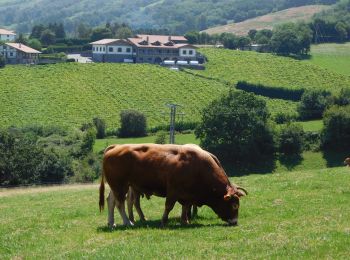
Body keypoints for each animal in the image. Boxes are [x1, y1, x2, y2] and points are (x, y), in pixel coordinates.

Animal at [98, 143, 246, 226]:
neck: (197, 167)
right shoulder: (173, 191)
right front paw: (164, 221)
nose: (235, 222)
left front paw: (185, 221)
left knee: (111, 201)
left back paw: (112, 222)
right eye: (234, 205)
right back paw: (128, 222)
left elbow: (185, 207)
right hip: (120, 186)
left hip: (118, 187)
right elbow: (169, 206)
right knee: (120, 204)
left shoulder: (187, 194)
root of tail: (115, 147)